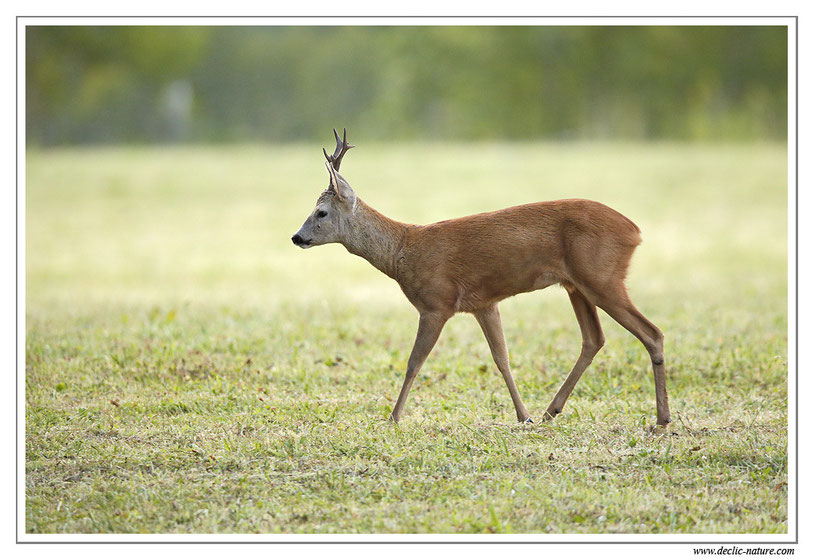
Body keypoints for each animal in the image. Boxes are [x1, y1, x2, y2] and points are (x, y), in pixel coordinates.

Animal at [290, 129, 672, 426]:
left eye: (320, 212)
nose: (296, 237)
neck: (403, 249)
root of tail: (635, 231)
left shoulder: (436, 303)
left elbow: (414, 362)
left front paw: (393, 418)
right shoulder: (484, 303)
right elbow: (501, 358)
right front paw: (523, 415)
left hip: (602, 278)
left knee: (651, 333)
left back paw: (662, 419)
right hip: (576, 285)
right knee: (593, 339)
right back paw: (550, 411)